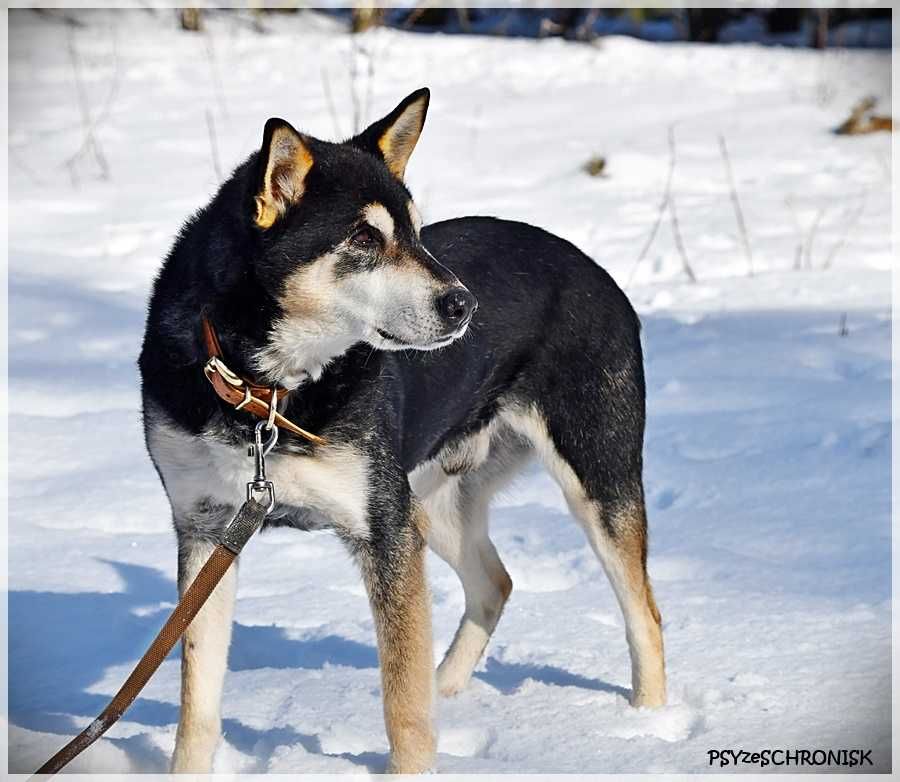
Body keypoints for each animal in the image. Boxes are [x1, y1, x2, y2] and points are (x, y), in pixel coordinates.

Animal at [139, 89, 660, 776]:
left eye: (414, 231)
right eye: (364, 236)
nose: (465, 305)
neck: (267, 391)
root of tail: (591, 267)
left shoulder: (383, 533)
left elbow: (401, 702)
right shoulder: (205, 532)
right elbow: (197, 703)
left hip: (592, 480)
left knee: (644, 615)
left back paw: (653, 726)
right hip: (426, 501)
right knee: (493, 585)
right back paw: (450, 692)